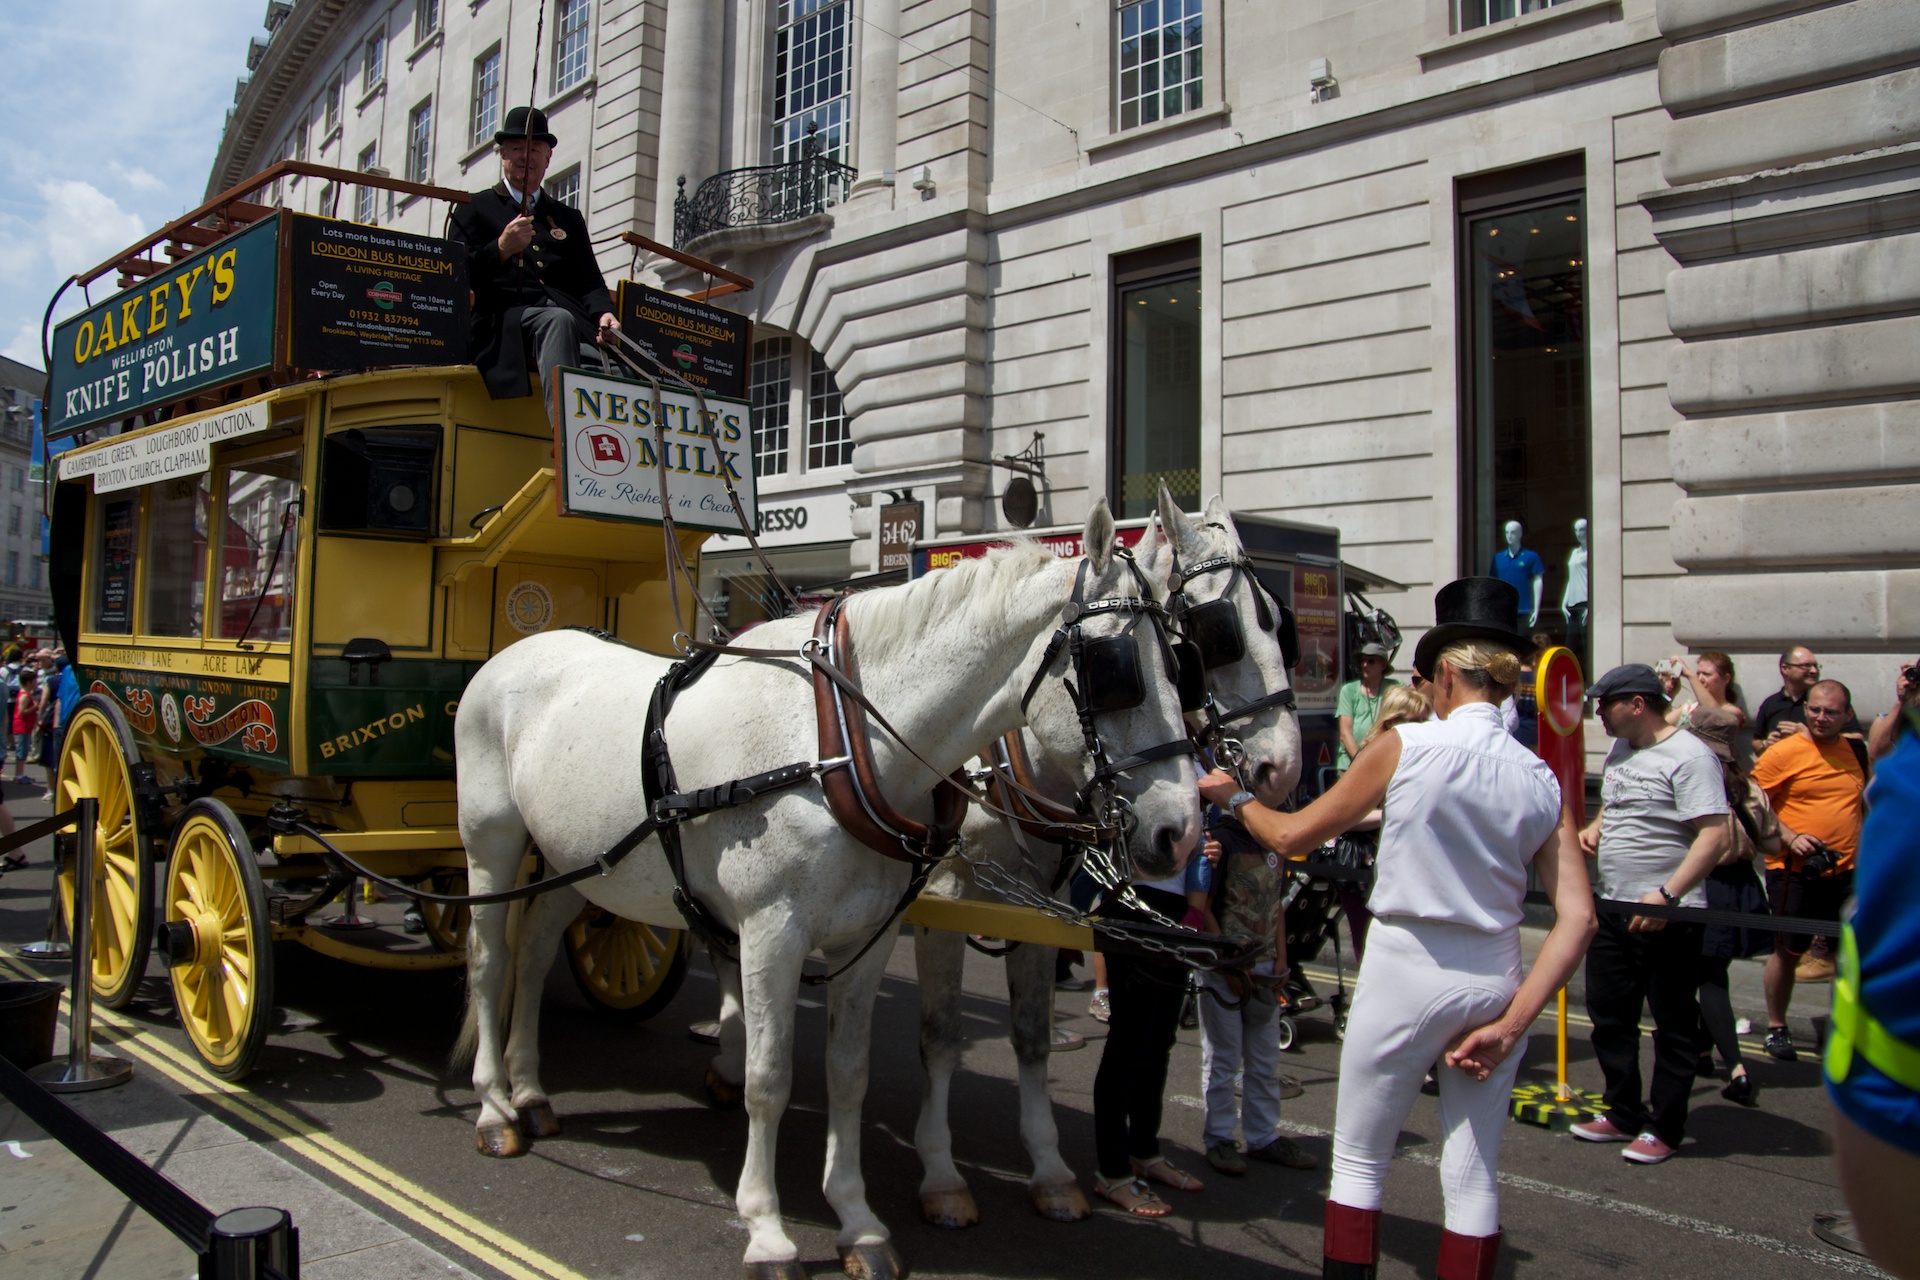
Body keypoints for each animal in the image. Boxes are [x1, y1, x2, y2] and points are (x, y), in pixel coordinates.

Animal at [453, 498, 1198, 1280]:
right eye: (1116, 670)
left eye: (1184, 662)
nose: (1179, 832)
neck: (837, 741)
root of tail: (516, 652)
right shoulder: (771, 933)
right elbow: (769, 1077)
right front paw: (766, 1229)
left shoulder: (865, 938)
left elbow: (849, 1072)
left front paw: (856, 1220)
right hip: (493, 845)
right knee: (491, 961)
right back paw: (494, 1107)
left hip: (585, 862)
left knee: (537, 947)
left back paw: (531, 1091)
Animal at [906, 495, 1297, 1228]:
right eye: (1213, 636)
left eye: (1276, 621)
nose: (1285, 769)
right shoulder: (941, 903)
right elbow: (940, 1035)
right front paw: (941, 1175)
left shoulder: (1041, 909)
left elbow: (1032, 1034)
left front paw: (1051, 1171)